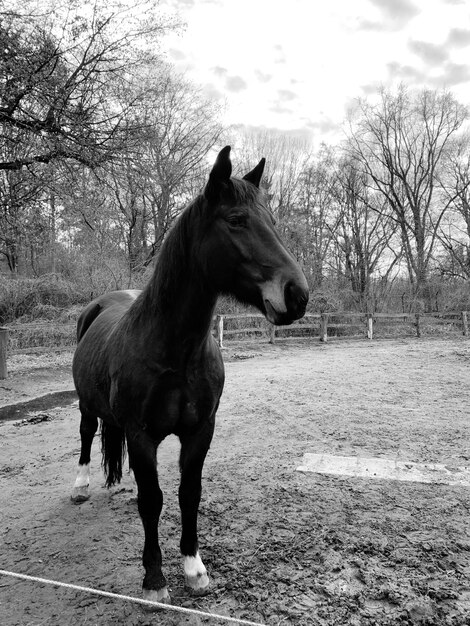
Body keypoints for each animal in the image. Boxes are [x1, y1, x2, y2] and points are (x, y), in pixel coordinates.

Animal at [71, 144, 308, 604]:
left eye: (271, 222)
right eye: (236, 220)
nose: (298, 295)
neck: (175, 353)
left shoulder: (201, 430)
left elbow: (187, 493)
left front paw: (194, 568)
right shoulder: (141, 434)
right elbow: (152, 500)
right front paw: (154, 579)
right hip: (87, 406)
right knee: (88, 434)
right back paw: (80, 485)